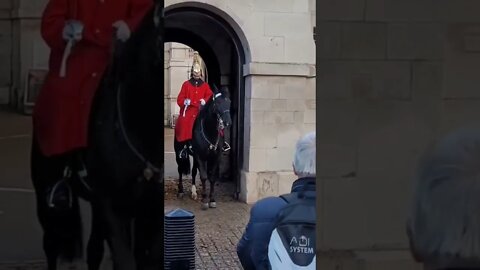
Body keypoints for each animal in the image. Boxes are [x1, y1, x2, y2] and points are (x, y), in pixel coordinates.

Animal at [31, 3, 165, 270]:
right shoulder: (112, 205)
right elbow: (125, 261)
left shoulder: (149, 211)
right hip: (47, 200)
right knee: (51, 244)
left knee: (93, 249)